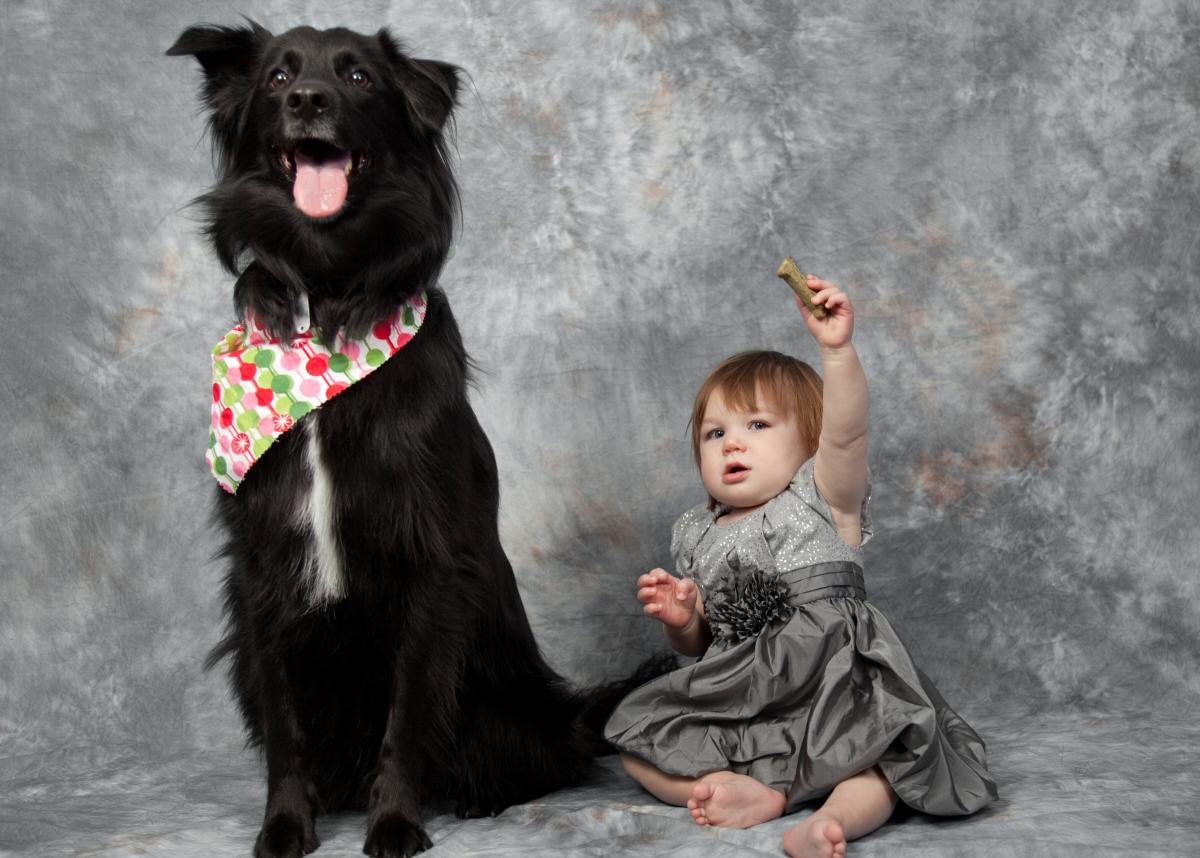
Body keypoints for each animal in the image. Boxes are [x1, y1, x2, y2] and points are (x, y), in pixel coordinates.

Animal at [166, 21, 657, 858]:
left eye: (358, 76)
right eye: (276, 79)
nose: (308, 100)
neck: (328, 310)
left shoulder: (430, 560)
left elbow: (409, 713)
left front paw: (394, 822)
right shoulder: (259, 564)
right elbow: (287, 727)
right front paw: (285, 824)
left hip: (500, 704)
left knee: (532, 760)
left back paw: (477, 798)